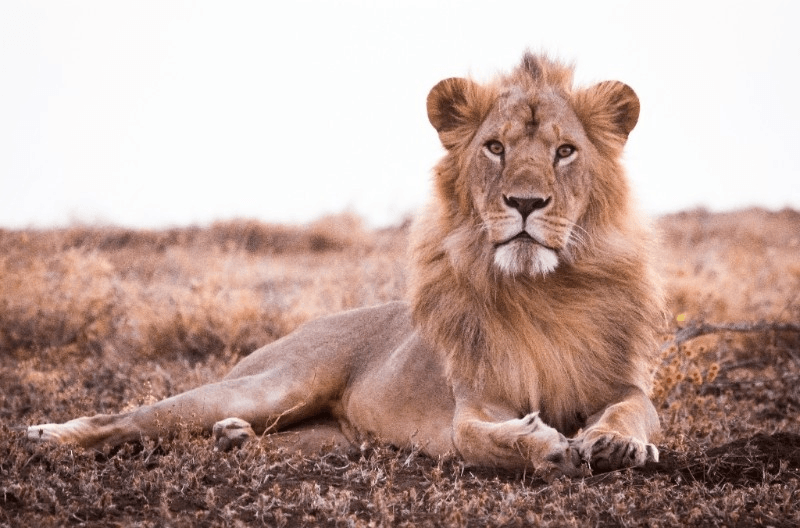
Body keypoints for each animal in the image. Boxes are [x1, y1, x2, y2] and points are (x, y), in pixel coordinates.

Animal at [28, 52, 662, 479]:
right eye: (496, 148)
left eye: (565, 151)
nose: (525, 202)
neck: (541, 291)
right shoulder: (474, 406)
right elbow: (485, 439)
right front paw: (549, 446)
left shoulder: (627, 384)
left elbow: (631, 412)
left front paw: (615, 444)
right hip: (273, 385)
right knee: (135, 418)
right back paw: (48, 435)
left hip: (332, 436)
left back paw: (235, 440)